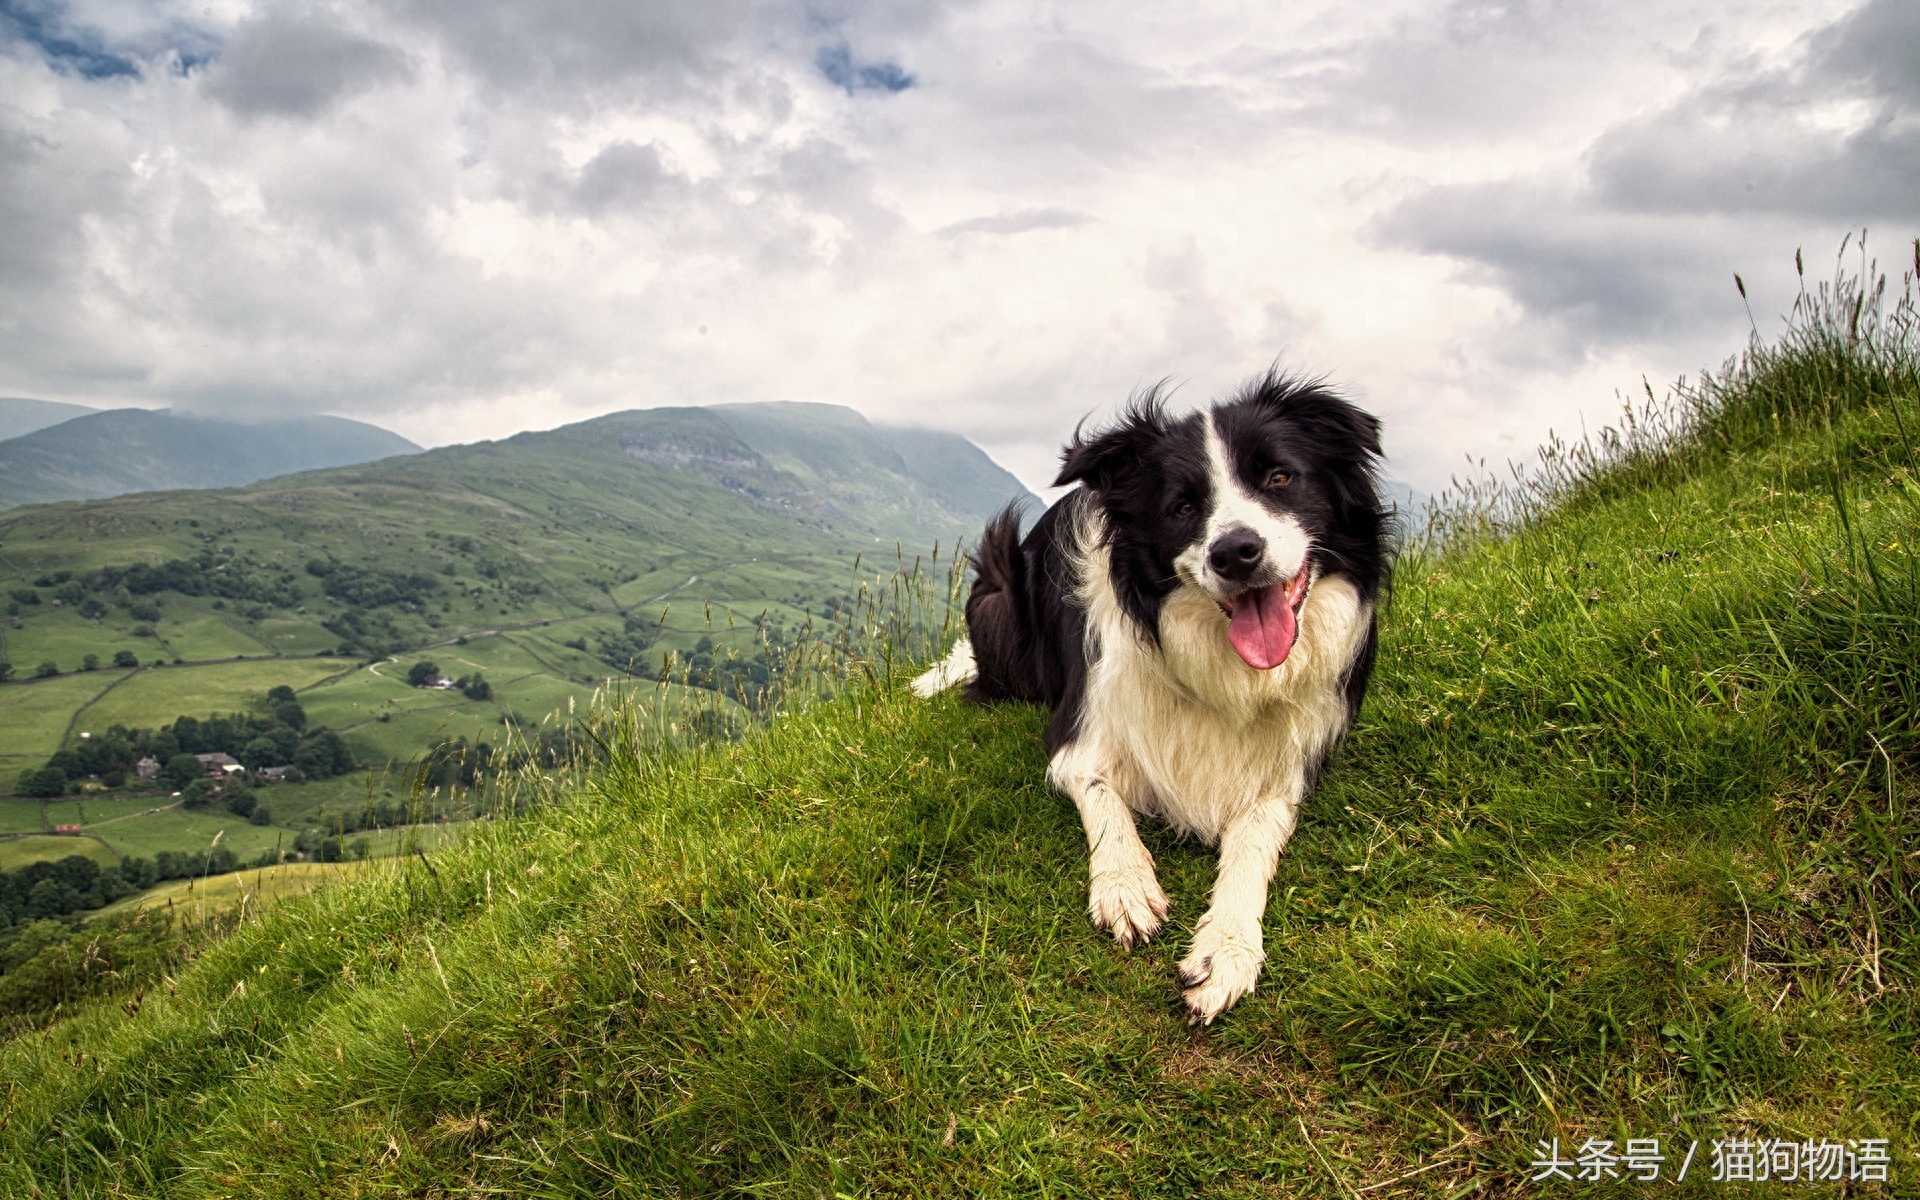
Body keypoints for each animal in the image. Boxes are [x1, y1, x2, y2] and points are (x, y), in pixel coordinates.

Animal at [917, 374, 1390, 1021]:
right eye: (1183, 507)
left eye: (1279, 477)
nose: (1234, 552)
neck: (1221, 668)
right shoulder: (1079, 735)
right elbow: (1103, 800)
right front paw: (1124, 886)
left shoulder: (1290, 766)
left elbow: (1254, 840)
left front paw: (1228, 946)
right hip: (998, 590)